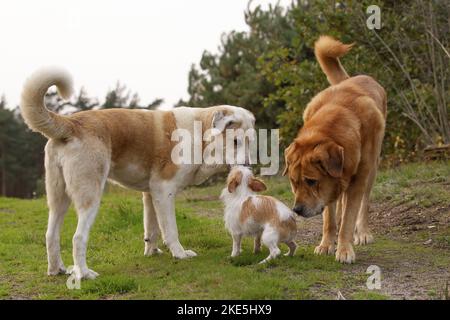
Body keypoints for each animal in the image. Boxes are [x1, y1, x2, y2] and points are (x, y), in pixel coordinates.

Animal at [19, 68, 255, 280]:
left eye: (251, 141)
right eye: (236, 141)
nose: (248, 165)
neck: (201, 133)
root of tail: (71, 122)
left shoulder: (151, 194)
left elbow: (152, 229)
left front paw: (152, 252)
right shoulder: (164, 190)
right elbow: (170, 229)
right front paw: (179, 254)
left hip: (59, 199)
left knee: (51, 235)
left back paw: (56, 270)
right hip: (90, 197)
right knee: (78, 238)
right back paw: (84, 274)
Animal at [284, 36, 386, 264]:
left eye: (310, 181)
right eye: (294, 182)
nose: (296, 210)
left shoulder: (357, 180)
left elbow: (349, 218)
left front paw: (344, 249)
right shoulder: (328, 188)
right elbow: (329, 219)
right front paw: (326, 245)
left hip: (372, 170)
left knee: (363, 204)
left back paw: (363, 232)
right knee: (339, 205)